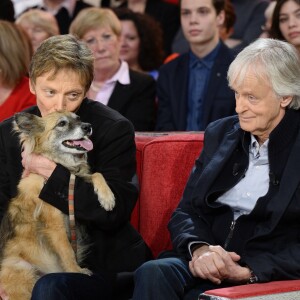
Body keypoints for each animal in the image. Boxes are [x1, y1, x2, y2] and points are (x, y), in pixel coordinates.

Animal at [0, 110, 115, 300]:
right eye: (61, 124)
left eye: (78, 118)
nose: (88, 126)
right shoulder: (55, 226)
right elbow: (67, 253)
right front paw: (77, 271)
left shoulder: (75, 180)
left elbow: (96, 174)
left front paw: (107, 197)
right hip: (24, 271)